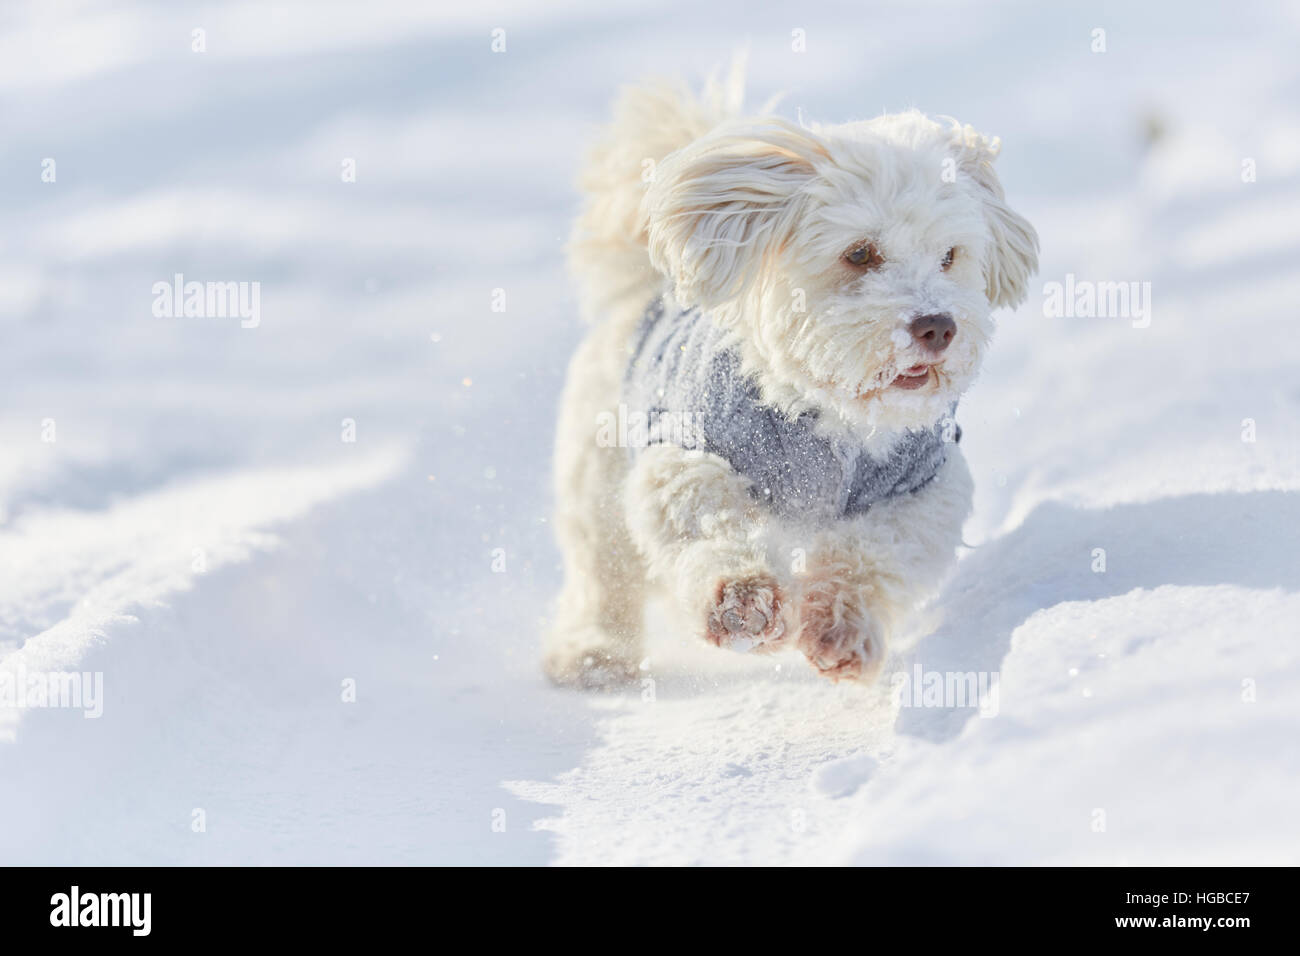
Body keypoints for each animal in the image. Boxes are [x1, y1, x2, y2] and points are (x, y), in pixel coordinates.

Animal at [543, 67, 1040, 686]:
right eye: (860, 253)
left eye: (949, 255)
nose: (937, 326)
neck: (831, 417)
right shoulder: (684, 451)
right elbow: (709, 516)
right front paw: (742, 599)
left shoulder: (924, 486)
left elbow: (874, 553)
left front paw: (841, 625)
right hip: (597, 467)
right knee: (603, 570)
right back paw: (594, 652)